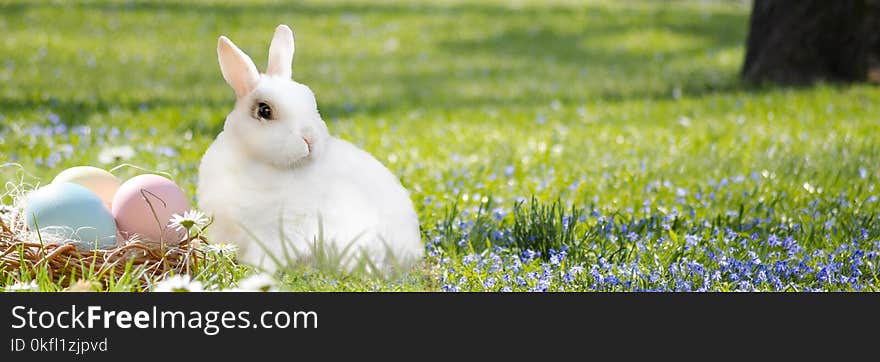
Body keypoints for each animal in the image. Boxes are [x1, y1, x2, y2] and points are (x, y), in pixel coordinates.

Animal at [197, 24, 422, 274]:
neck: (255, 159)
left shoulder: (276, 233)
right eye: (264, 110)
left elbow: (265, 257)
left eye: (311, 102)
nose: (309, 139)